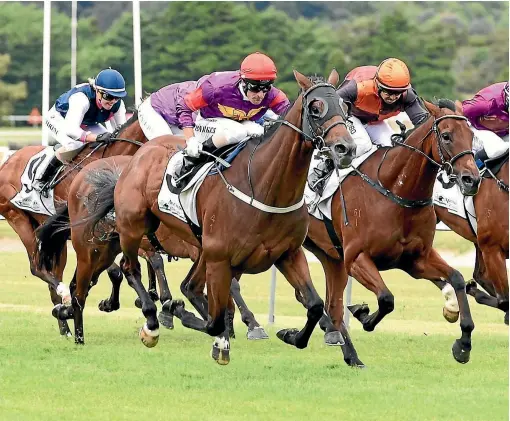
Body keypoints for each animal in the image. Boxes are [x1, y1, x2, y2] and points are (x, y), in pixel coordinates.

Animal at [0, 111, 148, 334]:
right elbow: (112, 270)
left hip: (55, 240)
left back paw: (65, 327)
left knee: (52, 273)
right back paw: (64, 296)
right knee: (37, 267)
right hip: (18, 219)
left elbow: (115, 270)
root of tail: (7, 162)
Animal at [304, 100, 480, 366]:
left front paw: (464, 344)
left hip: (329, 256)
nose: (472, 180)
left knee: (332, 304)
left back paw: (349, 354)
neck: (396, 192)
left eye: (471, 136)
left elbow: (457, 278)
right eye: (447, 136)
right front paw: (363, 314)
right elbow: (387, 298)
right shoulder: (356, 259)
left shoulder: (415, 260)